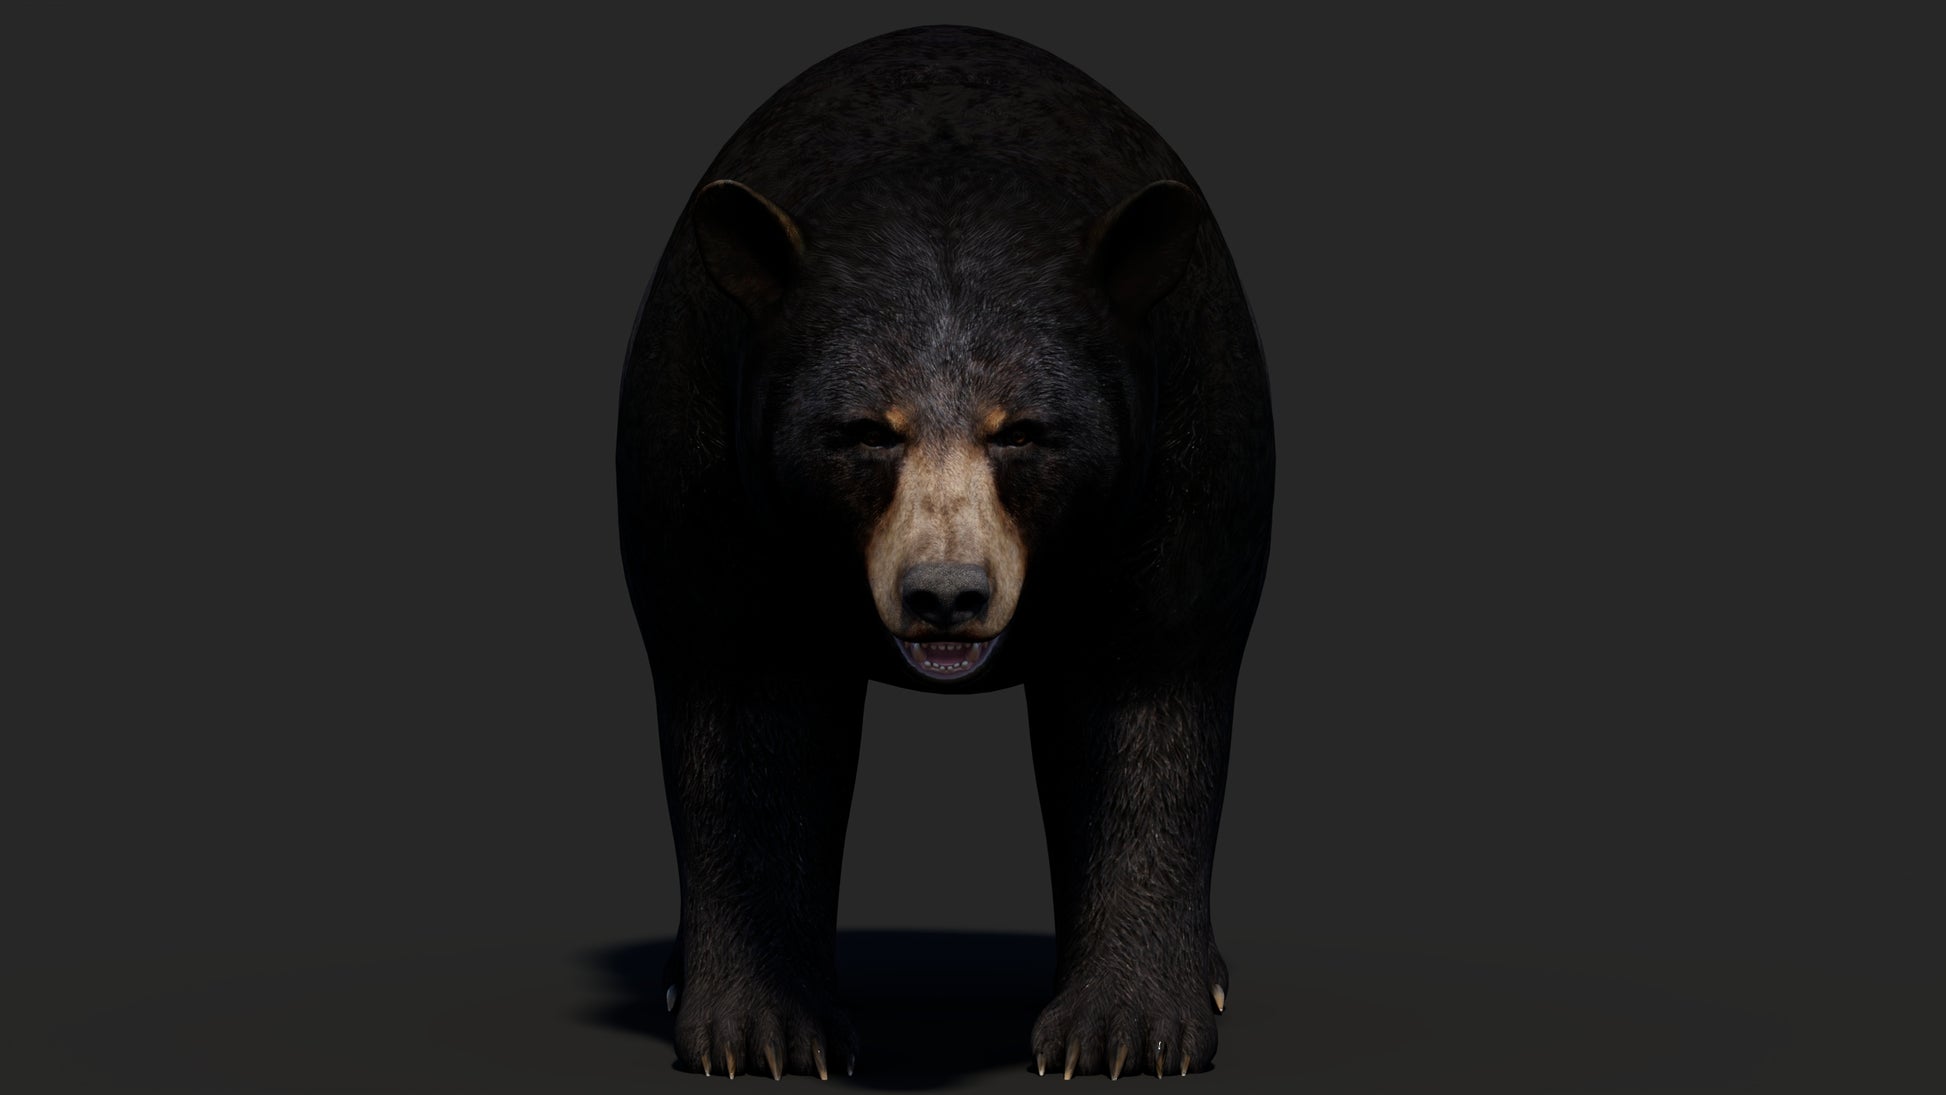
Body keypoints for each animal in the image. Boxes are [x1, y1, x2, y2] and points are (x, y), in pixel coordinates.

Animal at [615, 25, 1273, 1080]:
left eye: (1027, 432)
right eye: (863, 432)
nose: (946, 594)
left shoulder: (1190, 439)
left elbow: (1149, 691)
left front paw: (1126, 1030)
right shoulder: (703, 452)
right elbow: (746, 706)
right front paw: (761, 1032)